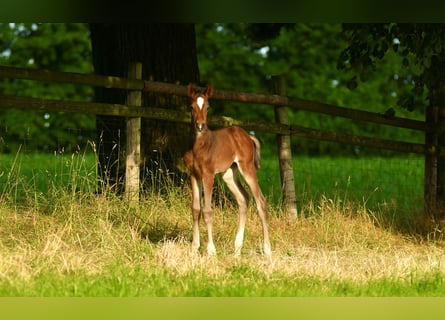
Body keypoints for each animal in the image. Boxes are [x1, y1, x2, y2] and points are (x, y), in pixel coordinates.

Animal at [182, 83, 272, 258]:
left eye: (208, 106)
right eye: (191, 106)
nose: (200, 126)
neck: (198, 146)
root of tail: (248, 136)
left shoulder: (208, 175)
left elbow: (208, 211)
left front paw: (211, 250)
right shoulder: (194, 175)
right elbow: (195, 209)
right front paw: (194, 248)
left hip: (247, 168)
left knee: (260, 201)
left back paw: (267, 249)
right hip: (229, 174)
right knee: (244, 198)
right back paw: (237, 249)